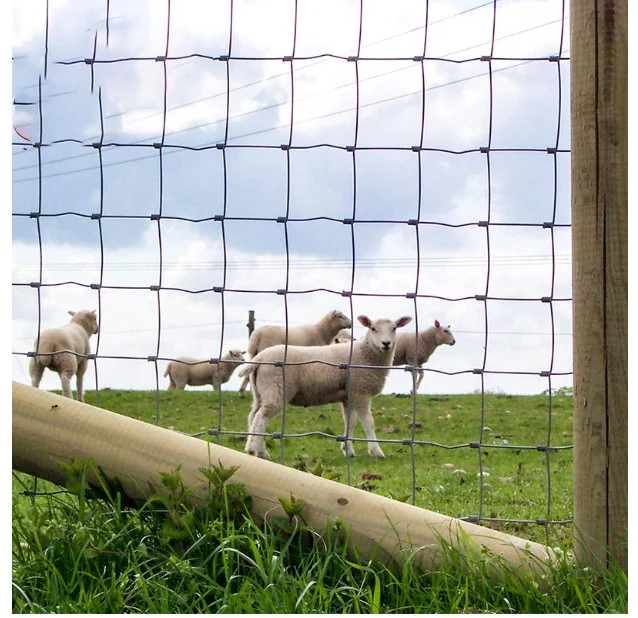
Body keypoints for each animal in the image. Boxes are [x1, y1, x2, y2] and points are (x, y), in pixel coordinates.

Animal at [241, 316, 416, 460]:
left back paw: (261, 452)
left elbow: (350, 422)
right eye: (373, 328)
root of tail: (260, 358)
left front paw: (348, 450)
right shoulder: (361, 391)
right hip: (275, 390)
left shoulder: (349, 395)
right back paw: (253, 450)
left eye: (394, 328)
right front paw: (376, 451)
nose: (386, 344)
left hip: (260, 392)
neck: (366, 354)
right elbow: (368, 422)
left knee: (253, 416)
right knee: (260, 418)